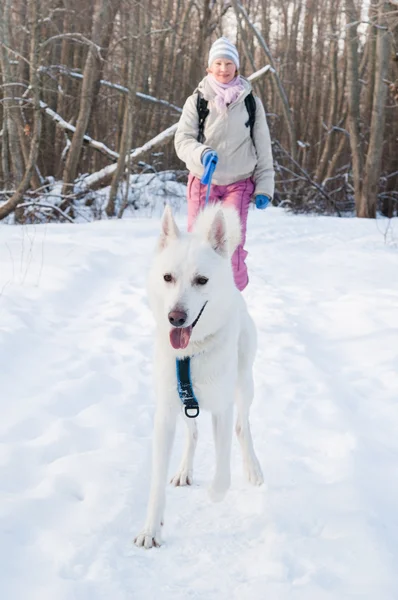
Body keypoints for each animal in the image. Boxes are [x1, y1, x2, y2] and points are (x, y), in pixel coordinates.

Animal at [135, 205, 262, 548]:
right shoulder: (166, 414)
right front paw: (151, 528)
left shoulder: (221, 408)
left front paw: (216, 494)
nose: (175, 318)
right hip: (184, 404)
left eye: (201, 280)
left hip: (244, 385)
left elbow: (223, 470)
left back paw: (253, 468)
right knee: (192, 433)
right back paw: (183, 471)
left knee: (243, 427)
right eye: (167, 277)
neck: (190, 354)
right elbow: (154, 484)